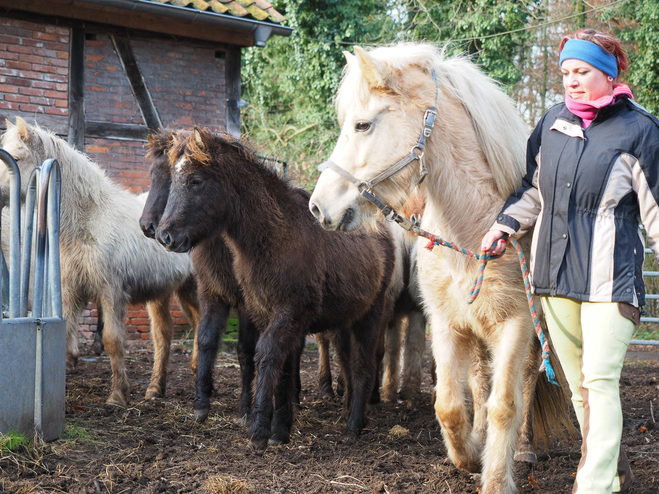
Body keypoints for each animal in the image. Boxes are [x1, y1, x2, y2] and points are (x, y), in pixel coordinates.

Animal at [0, 117, 201, 408]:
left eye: (15, 158)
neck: (89, 220)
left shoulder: (110, 291)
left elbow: (112, 340)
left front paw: (118, 395)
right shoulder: (70, 291)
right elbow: (67, 335)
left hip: (194, 287)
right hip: (162, 293)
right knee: (164, 334)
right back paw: (154, 389)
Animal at [310, 43, 572, 494]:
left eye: (363, 125)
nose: (317, 206)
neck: (473, 232)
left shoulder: (516, 325)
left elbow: (505, 403)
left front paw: (496, 478)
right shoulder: (448, 323)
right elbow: (449, 404)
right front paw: (467, 454)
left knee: (524, 380)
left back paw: (522, 448)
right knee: (479, 382)